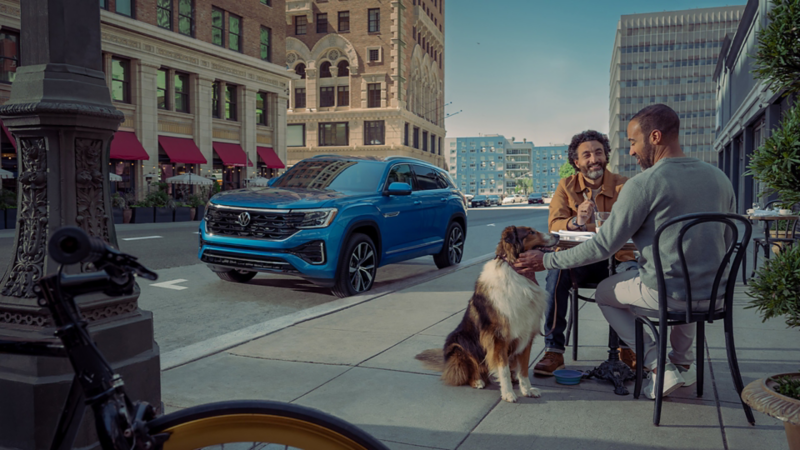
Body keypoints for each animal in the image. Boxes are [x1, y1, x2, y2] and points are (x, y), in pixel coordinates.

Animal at [416, 227, 560, 402]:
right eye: (531, 232)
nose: (558, 235)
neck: (518, 273)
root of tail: (446, 364)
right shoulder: (498, 338)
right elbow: (503, 369)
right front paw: (508, 393)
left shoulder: (526, 335)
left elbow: (524, 369)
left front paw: (527, 389)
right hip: (460, 344)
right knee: (469, 371)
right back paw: (477, 381)